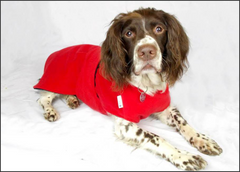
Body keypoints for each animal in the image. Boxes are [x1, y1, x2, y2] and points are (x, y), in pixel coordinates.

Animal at [34, 7, 223, 171]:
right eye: (129, 33)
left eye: (159, 29)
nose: (146, 52)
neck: (145, 87)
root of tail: (56, 52)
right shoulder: (126, 125)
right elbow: (157, 138)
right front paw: (184, 156)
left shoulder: (165, 109)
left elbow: (183, 122)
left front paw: (202, 140)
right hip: (56, 80)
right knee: (43, 97)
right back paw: (50, 111)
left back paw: (72, 99)